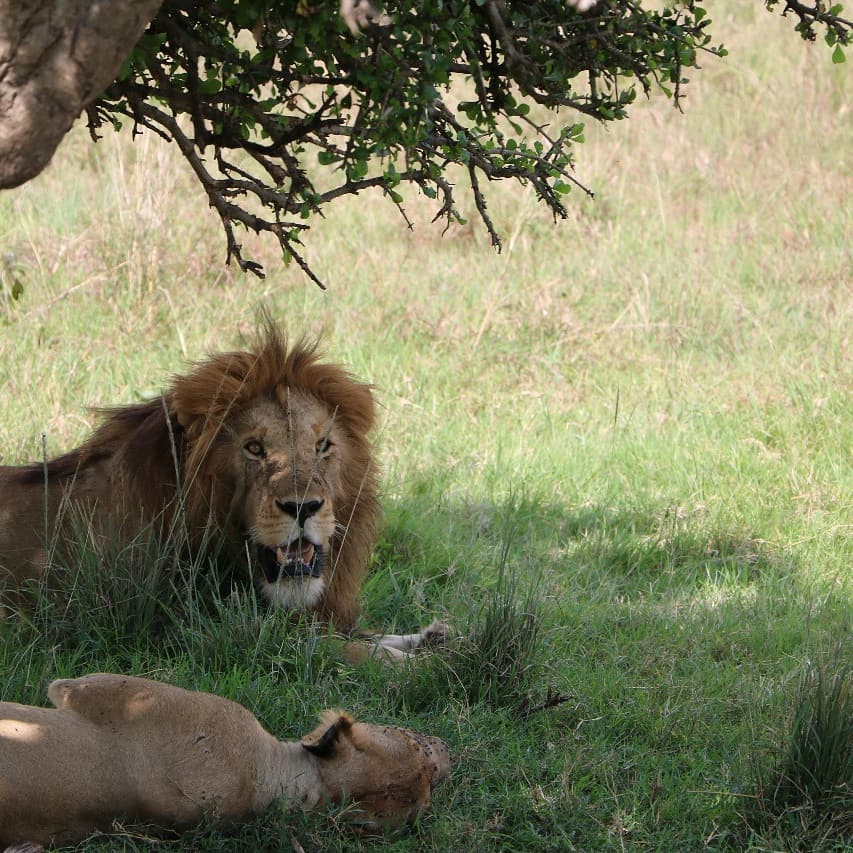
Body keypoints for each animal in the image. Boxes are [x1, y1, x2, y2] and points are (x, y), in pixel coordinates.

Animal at [0, 322, 445, 661]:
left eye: (322, 446)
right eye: (254, 448)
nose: (303, 507)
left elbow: (358, 634)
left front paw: (429, 636)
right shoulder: (206, 628)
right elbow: (344, 649)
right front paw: (426, 662)